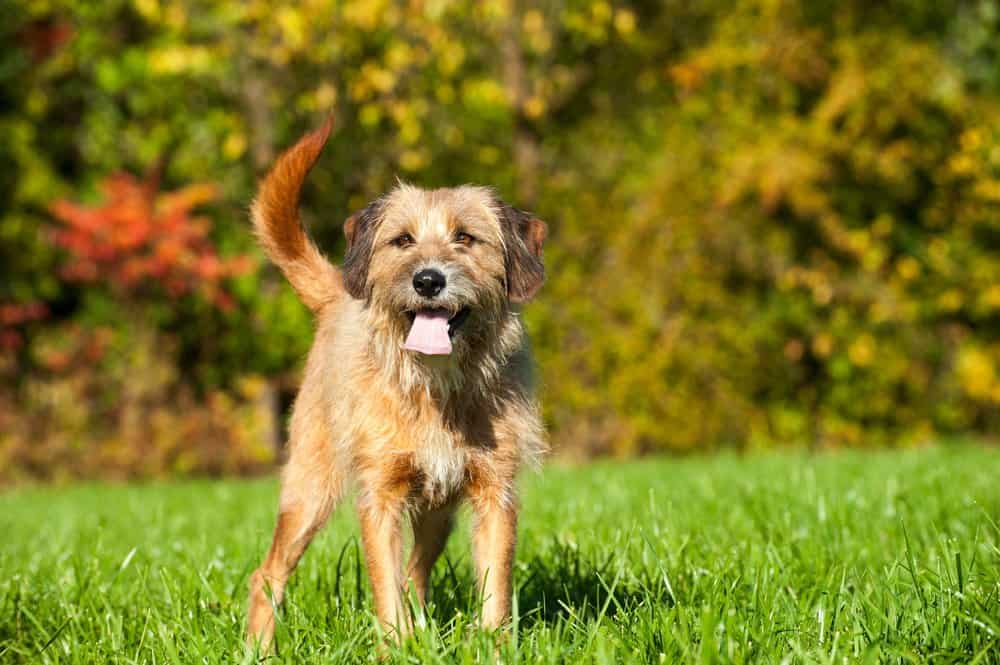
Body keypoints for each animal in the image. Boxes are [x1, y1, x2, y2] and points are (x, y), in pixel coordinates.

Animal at [247, 115, 552, 648]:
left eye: (466, 238)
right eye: (403, 241)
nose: (428, 280)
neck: (436, 388)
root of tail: (337, 296)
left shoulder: (495, 492)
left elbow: (494, 583)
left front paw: (492, 646)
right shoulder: (381, 496)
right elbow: (385, 586)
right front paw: (395, 647)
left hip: (438, 513)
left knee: (415, 572)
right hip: (309, 490)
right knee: (267, 575)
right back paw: (258, 649)